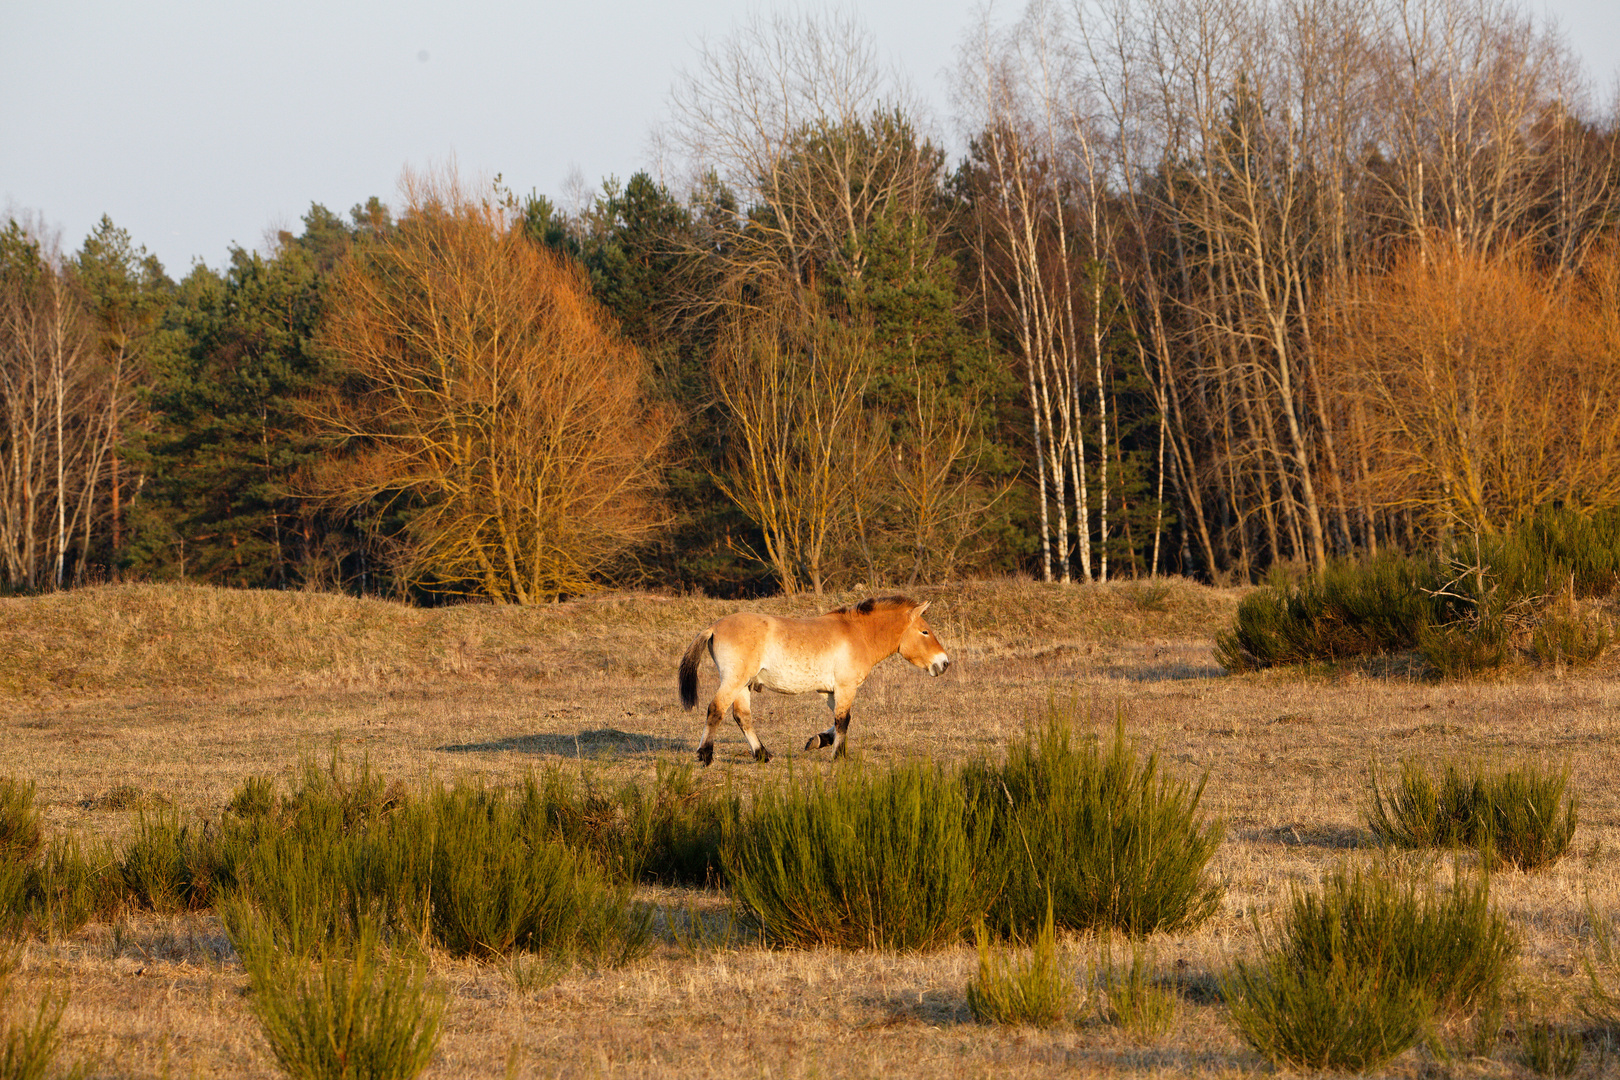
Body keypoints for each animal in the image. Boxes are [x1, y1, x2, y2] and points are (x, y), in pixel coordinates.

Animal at [673, 595, 946, 764]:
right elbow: (844, 720)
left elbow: (836, 722)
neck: (858, 634)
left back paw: (762, 754)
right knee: (716, 709)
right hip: (734, 681)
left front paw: (818, 741)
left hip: (743, 685)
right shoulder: (845, 687)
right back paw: (705, 755)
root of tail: (714, 627)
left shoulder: (830, 691)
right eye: (925, 632)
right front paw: (839, 756)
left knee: (742, 717)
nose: (943, 663)